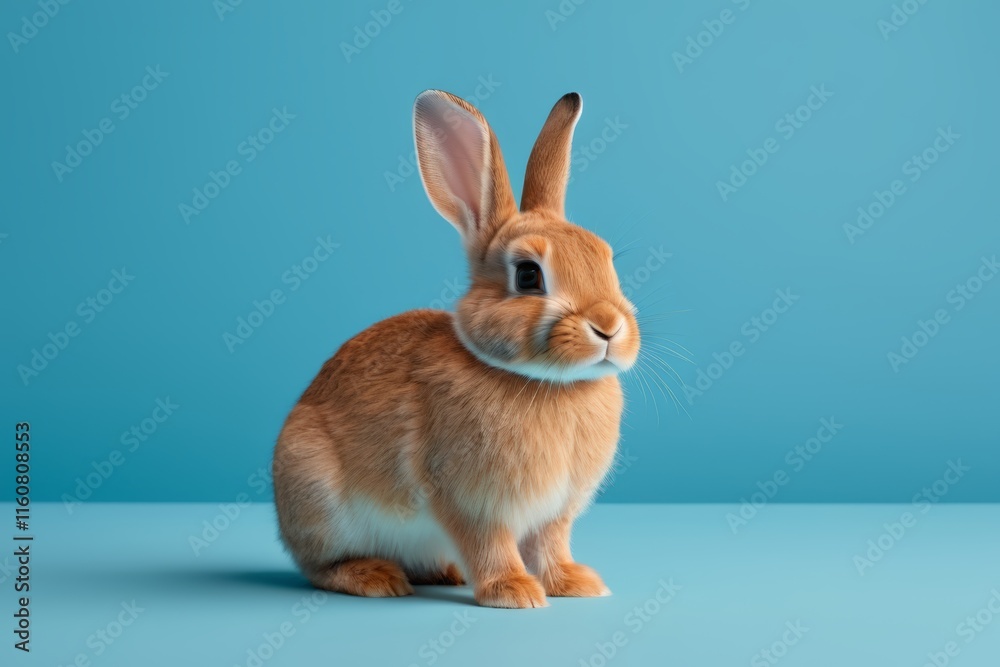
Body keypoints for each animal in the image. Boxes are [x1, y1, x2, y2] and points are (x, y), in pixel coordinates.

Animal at [273, 90, 640, 609]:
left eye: (607, 259)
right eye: (528, 275)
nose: (608, 327)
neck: (547, 383)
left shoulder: (554, 514)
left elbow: (551, 544)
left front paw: (576, 583)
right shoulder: (470, 504)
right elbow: (489, 545)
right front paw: (514, 592)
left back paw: (442, 573)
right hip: (318, 495)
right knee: (320, 567)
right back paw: (375, 578)